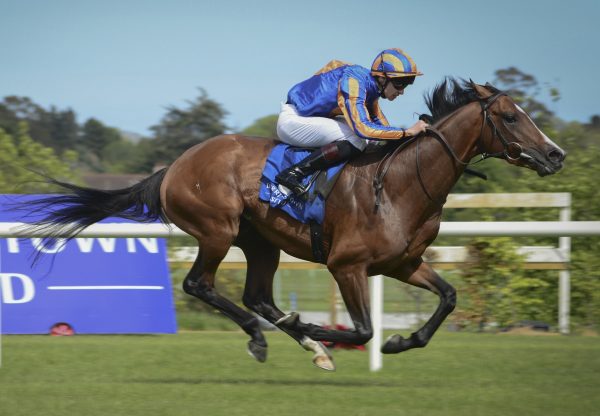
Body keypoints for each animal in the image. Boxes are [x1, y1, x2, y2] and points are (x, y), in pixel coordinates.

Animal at [23, 79, 564, 370]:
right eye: (511, 117)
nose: (555, 155)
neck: (401, 183)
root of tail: (173, 168)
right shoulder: (347, 265)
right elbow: (362, 328)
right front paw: (322, 330)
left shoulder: (404, 263)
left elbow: (447, 298)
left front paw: (399, 341)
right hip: (217, 231)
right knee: (200, 285)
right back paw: (270, 336)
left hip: (262, 243)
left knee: (255, 296)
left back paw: (297, 339)